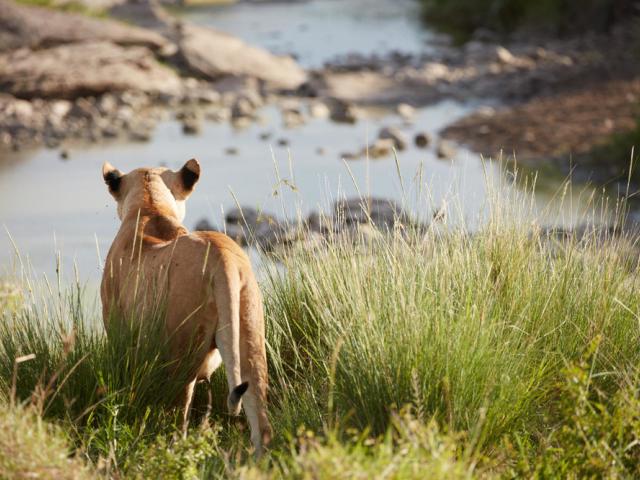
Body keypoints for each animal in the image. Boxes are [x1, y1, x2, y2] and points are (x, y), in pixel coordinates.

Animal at [100, 158, 272, 456]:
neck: (150, 207)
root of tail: (222, 255)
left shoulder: (118, 330)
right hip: (249, 336)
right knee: (260, 418)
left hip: (181, 349)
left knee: (179, 414)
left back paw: (172, 449)